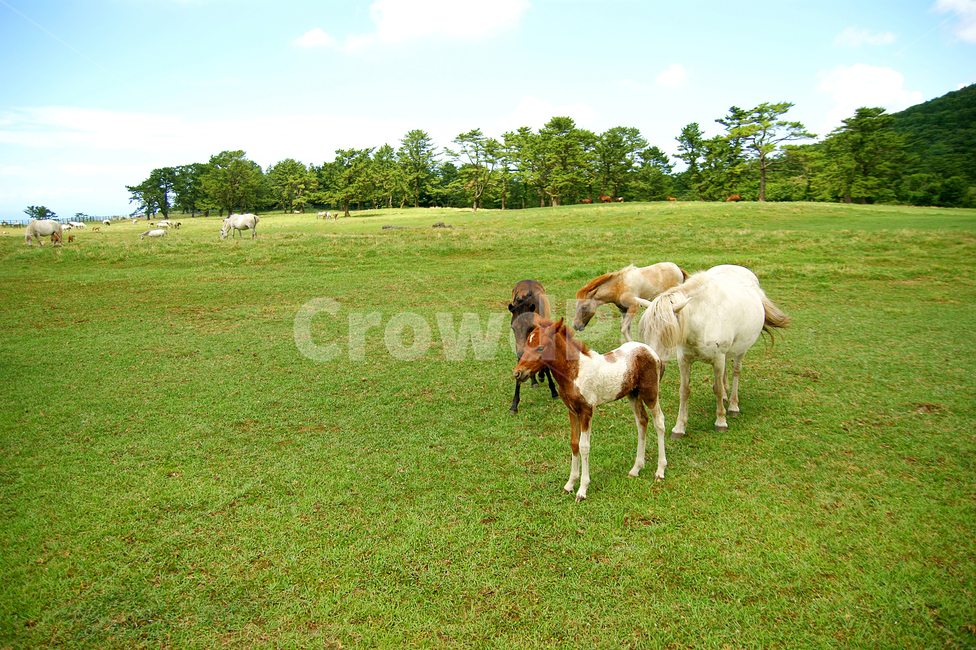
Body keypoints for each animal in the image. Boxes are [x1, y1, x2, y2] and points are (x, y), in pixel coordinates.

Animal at [514, 317, 668, 502]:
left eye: (540, 347)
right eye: (527, 343)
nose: (517, 373)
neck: (574, 372)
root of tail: (652, 352)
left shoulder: (587, 410)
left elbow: (584, 446)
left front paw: (582, 489)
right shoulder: (572, 410)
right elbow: (574, 443)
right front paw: (570, 484)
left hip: (650, 392)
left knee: (659, 422)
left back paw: (660, 470)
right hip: (633, 394)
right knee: (642, 421)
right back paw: (636, 468)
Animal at [636, 264, 791, 438]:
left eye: (668, 334)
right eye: (647, 333)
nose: (652, 370)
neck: (703, 319)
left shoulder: (717, 359)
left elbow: (717, 389)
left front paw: (721, 421)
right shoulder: (685, 360)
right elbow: (684, 391)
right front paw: (679, 427)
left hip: (741, 350)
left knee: (736, 371)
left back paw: (733, 405)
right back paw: (725, 398)